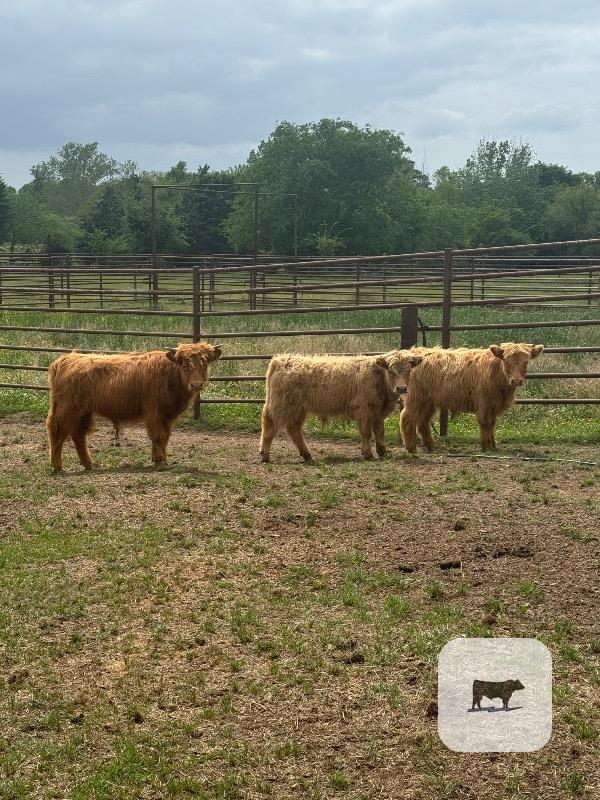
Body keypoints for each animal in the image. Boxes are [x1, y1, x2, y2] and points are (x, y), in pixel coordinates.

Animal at [46, 342, 222, 471]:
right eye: (183, 364)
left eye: (205, 363)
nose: (196, 384)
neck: (170, 377)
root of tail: (66, 359)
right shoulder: (153, 411)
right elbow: (157, 435)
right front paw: (159, 461)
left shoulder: (168, 415)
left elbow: (165, 436)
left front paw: (161, 459)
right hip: (67, 408)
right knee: (57, 432)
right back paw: (57, 466)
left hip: (84, 411)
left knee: (78, 435)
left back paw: (88, 464)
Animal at [259, 350, 423, 463]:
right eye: (390, 370)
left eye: (409, 370)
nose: (401, 388)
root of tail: (281, 359)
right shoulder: (365, 411)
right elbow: (366, 433)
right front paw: (368, 453)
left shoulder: (377, 413)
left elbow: (379, 432)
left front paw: (382, 451)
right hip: (281, 406)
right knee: (270, 427)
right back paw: (265, 455)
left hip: (298, 410)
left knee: (294, 430)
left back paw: (306, 455)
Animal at [400, 343, 544, 452]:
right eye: (506, 361)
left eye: (525, 362)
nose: (516, 381)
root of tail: (416, 352)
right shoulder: (484, 403)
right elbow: (485, 423)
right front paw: (486, 446)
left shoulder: (493, 405)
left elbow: (492, 423)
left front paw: (493, 444)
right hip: (415, 397)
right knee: (407, 418)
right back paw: (411, 447)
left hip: (428, 401)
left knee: (423, 421)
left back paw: (430, 445)